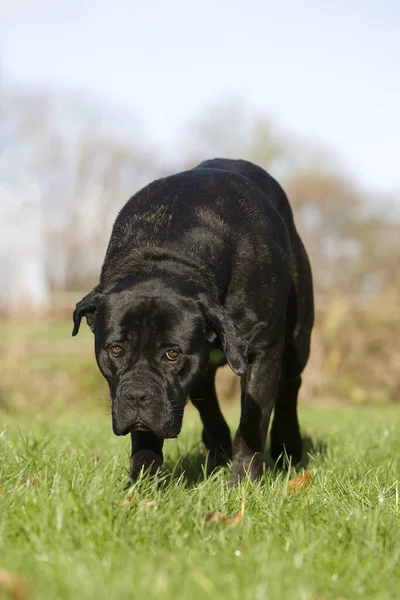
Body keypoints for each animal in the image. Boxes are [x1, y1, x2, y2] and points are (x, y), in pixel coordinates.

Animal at [73, 157, 314, 480]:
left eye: (172, 354)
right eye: (116, 350)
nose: (137, 396)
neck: (167, 257)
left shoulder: (262, 351)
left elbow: (252, 422)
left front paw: (244, 481)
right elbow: (149, 436)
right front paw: (141, 482)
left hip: (298, 338)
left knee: (291, 384)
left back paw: (287, 445)